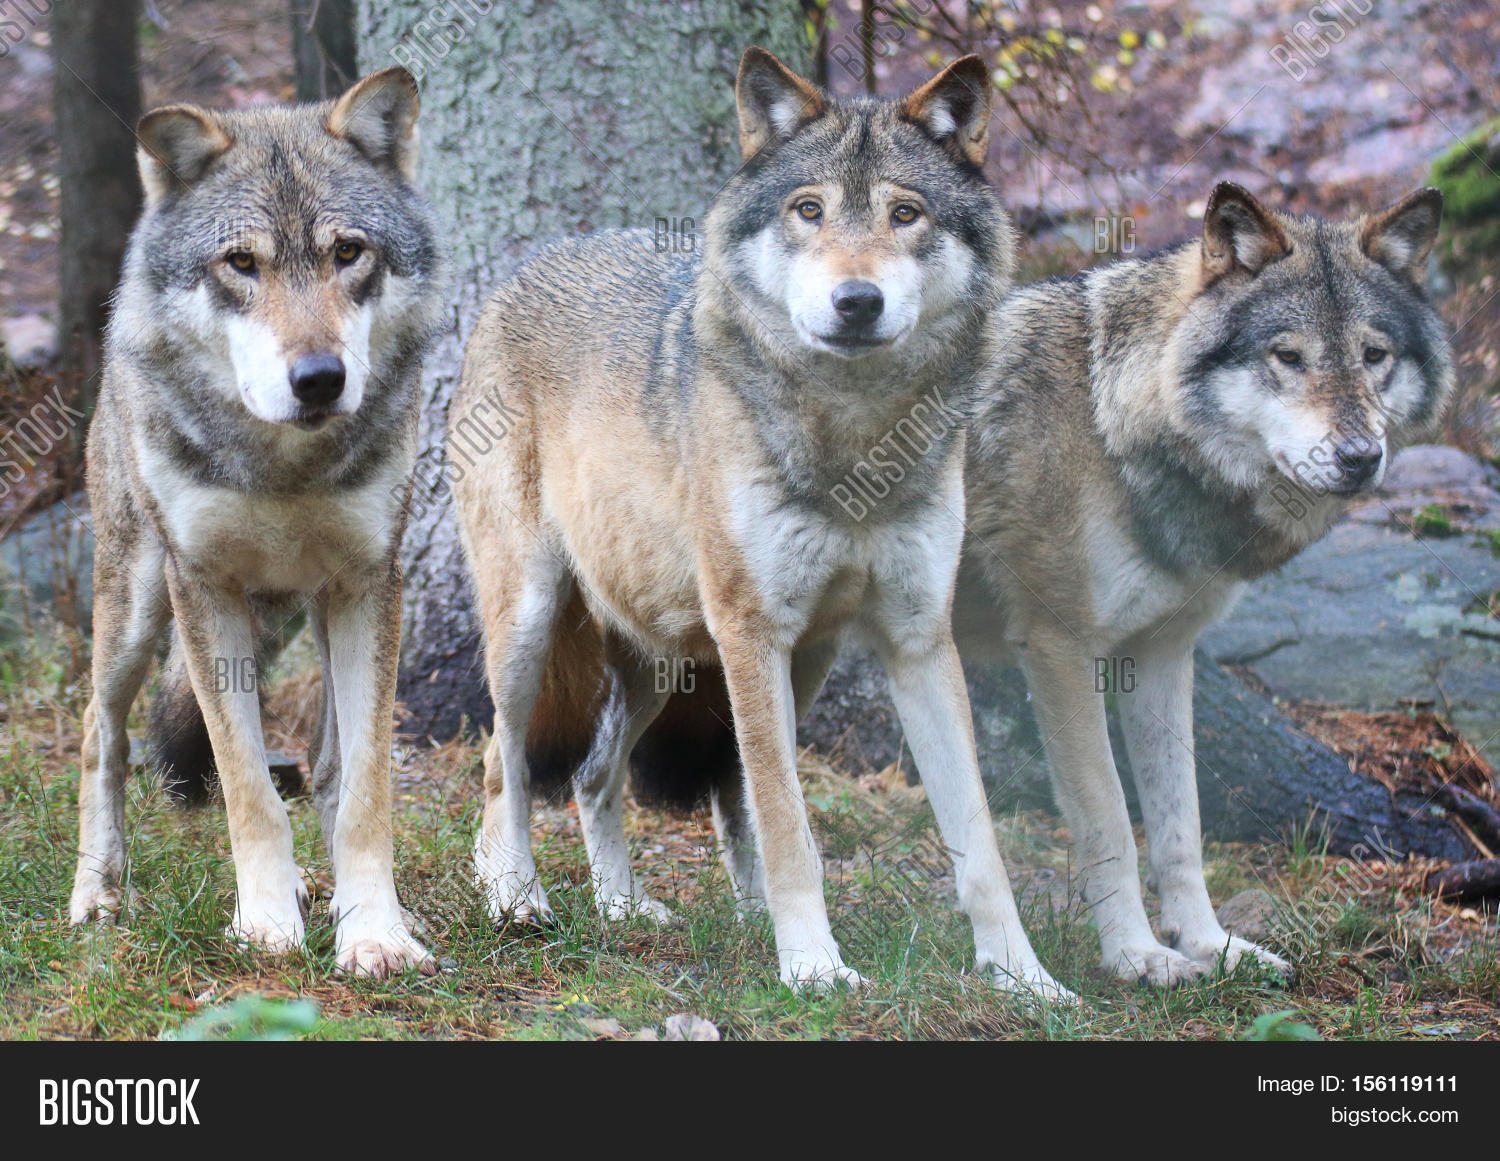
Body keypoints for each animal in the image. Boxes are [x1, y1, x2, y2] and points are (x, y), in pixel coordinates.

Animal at [68, 69, 445, 977]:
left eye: (348, 253)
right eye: (242, 263)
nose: (319, 378)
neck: (284, 468)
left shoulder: (368, 585)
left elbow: (364, 788)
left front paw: (375, 932)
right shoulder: (205, 589)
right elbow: (247, 787)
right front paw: (266, 924)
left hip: (307, 614)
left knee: (329, 767)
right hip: (136, 607)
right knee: (101, 732)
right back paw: (96, 892)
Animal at [451, 49, 1071, 997]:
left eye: (905, 214)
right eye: (808, 210)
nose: (857, 301)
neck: (853, 442)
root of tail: (533, 261)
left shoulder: (919, 641)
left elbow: (978, 840)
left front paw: (1025, 979)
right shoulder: (752, 634)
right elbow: (787, 824)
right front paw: (813, 966)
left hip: (705, 659)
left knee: (598, 775)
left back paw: (631, 907)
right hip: (532, 626)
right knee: (503, 762)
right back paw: (517, 900)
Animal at [949, 182, 1453, 984]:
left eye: (1374, 356)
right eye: (1289, 357)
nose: (1360, 457)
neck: (1110, 424)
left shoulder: (1162, 652)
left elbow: (1180, 827)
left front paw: (1209, 946)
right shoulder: (1059, 649)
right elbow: (1110, 820)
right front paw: (1137, 957)